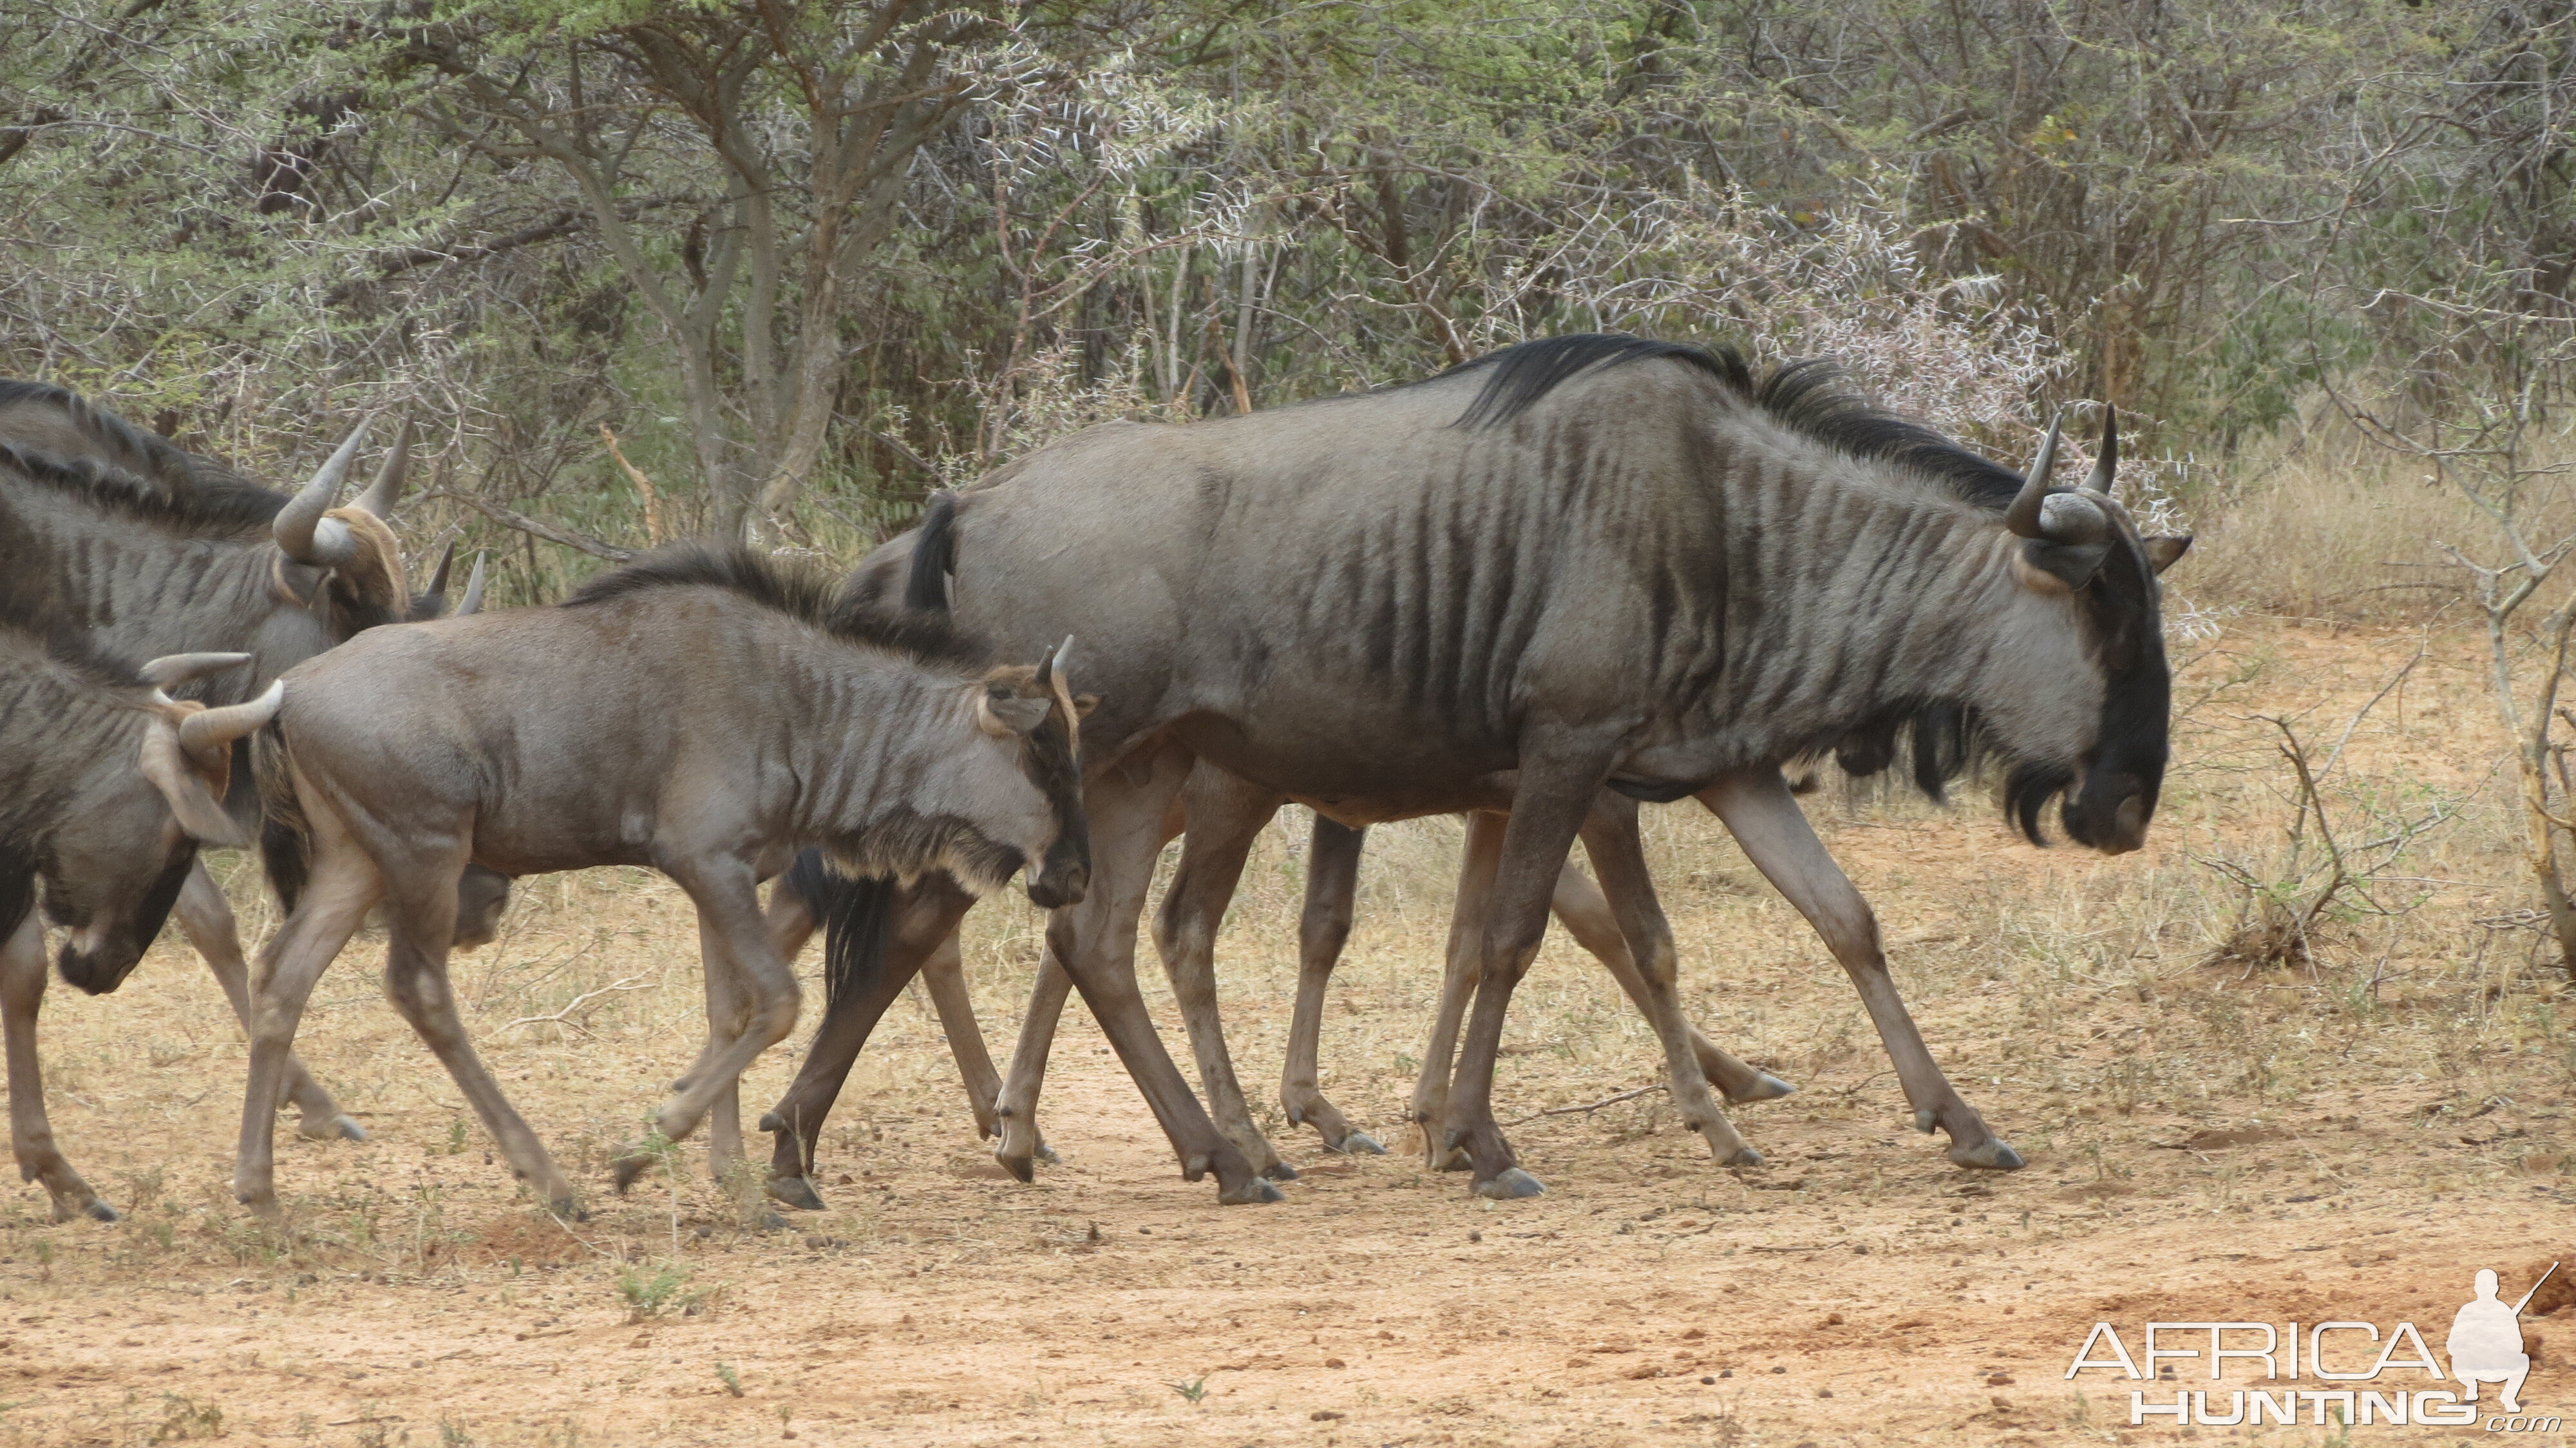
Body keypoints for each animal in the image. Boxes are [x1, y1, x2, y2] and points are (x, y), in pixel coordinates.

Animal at [232, 538, 1087, 1206]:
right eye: (1044, 757)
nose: (1076, 876)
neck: (800, 699)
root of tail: (291, 691)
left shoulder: (727, 875)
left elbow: (729, 1012)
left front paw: (735, 1179)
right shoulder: (704, 861)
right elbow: (779, 1002)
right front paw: (645, 1151)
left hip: (356, 865)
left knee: (281, 976)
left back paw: (260, 1190)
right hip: (424, 854)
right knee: (420, 990)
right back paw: (550, 1182)